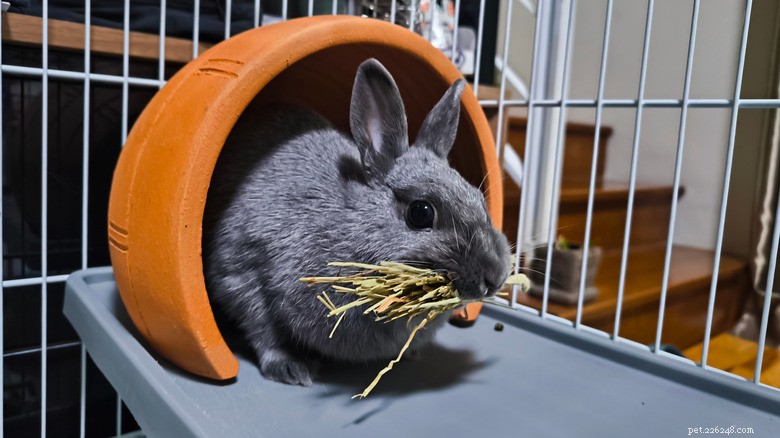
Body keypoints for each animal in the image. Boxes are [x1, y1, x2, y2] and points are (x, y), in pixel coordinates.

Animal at [202, 58, 511, 386]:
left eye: (478, 197)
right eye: (421, 212)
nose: (495, 276)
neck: (350, 220)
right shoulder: (244, 271)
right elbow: (265, 332)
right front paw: (291, 368)